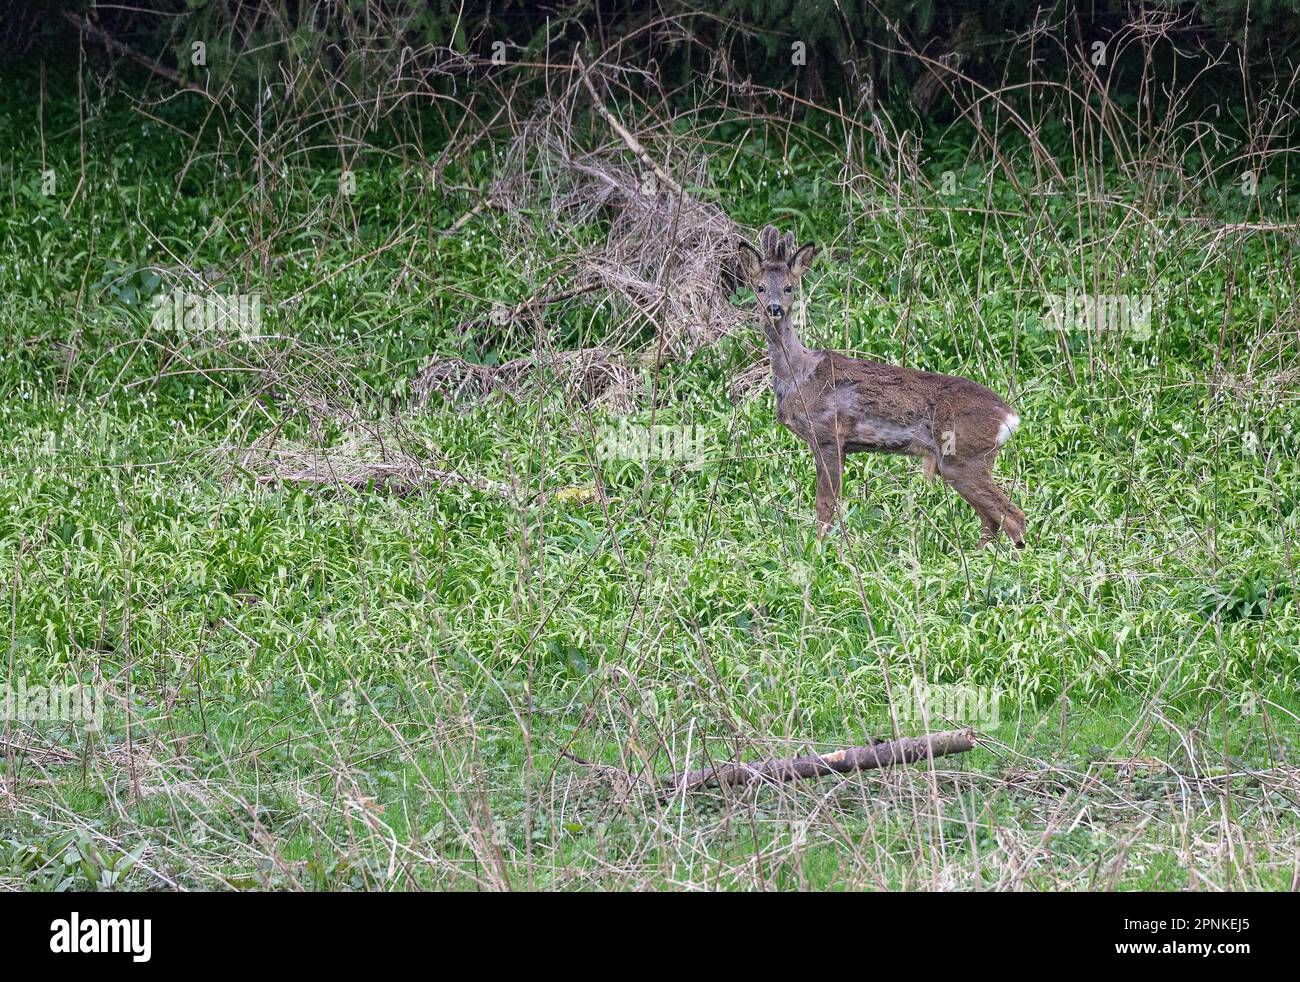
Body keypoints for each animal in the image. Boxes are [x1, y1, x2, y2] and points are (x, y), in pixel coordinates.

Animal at [736, 225, 1026, 548]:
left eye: (789, 287)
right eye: (760, 287)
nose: (774, 308)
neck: (798, 376)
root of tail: (1009, 417)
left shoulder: (828, 435)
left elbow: (825, 505)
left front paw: (821, 550)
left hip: (962, 455)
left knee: (1013, 516)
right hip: (964, 461)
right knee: (992, 519)